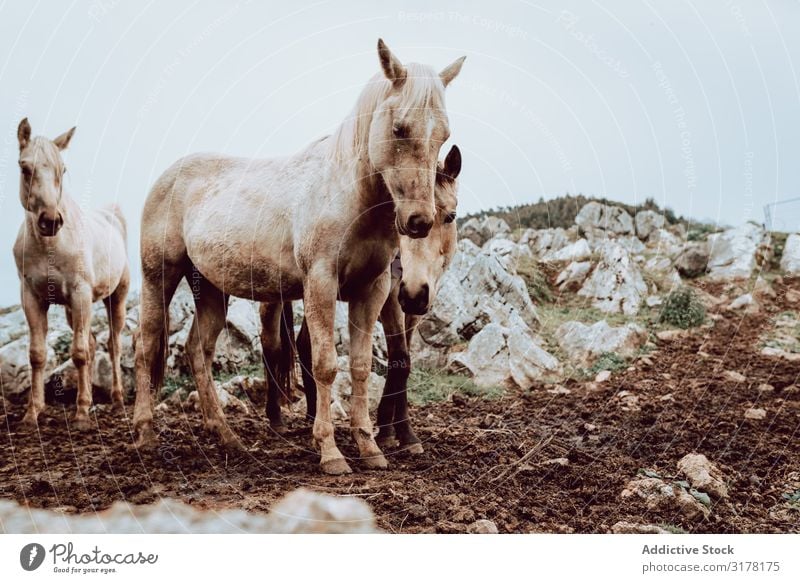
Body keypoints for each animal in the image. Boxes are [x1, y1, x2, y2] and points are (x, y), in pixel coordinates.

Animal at [12, 118, 130, 428]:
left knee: (113, 345)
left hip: (116, 299)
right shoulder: (32, 297)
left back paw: (117, 399)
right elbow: (38, 355)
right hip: (70, 308)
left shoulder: (81, 293)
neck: (50, 246)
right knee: (91, 342)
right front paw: (32, 412)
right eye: (24, 168)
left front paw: (81, 414)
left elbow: (78, 353)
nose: (51, 221)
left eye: (62, 169)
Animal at [264, 144, 462, 454]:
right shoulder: (391, 298)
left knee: (304, 345)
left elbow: (402, 361)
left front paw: (399, 432)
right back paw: (276, 418)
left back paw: (312, 414)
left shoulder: (412, 306)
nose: (415, 291)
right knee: (271, 347)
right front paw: (392, 432)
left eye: (450, 216)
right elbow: (400, 357)